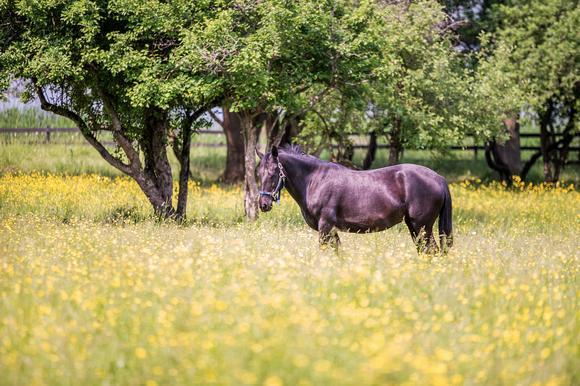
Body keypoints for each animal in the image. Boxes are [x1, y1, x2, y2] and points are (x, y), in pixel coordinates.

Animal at [258, 146, 454, 253]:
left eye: (273, 173)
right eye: (259, 173)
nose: (263, 204)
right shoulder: (332, 230)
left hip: (422, 226)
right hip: (414, 226)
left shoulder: (325, 227)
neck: (314, 180)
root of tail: (439, 178)